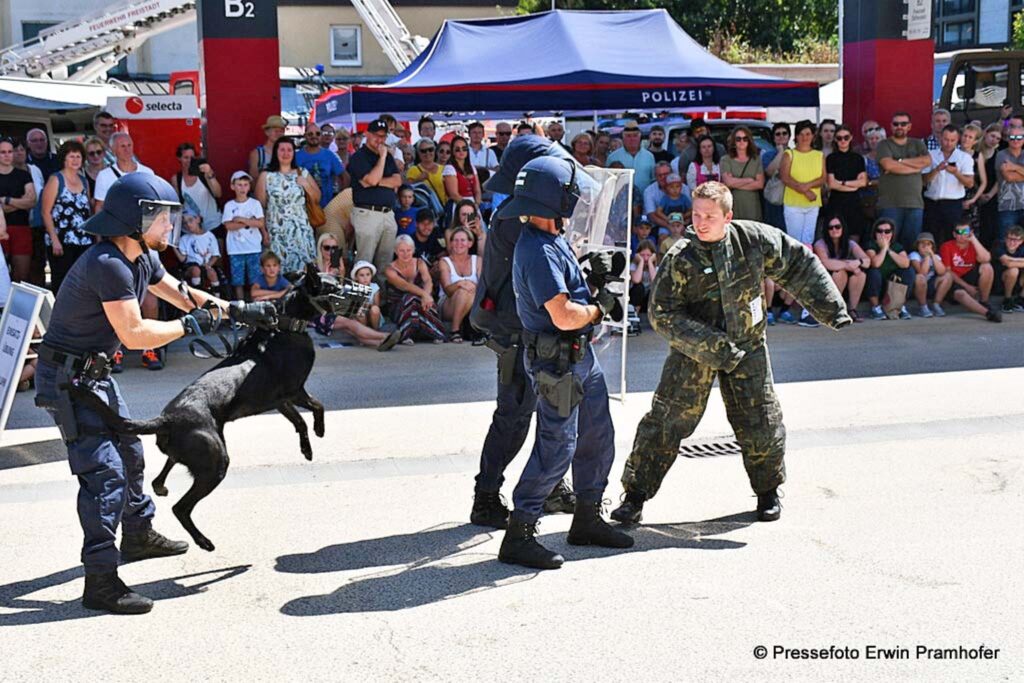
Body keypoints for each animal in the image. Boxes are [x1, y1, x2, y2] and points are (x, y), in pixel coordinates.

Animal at [69, 264, 364, 552]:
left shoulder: (280, 401)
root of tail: (167, 418)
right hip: (215, 462)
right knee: (181, 507)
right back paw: (203, 541)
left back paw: (162, 488)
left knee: (160, 477)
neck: (286, 325)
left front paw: (307, 449)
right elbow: (318, 406)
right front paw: (320, 430)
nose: (361, 290)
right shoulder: (295, 391)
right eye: (337, 286)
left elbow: (299, 422)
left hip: (196, 452)